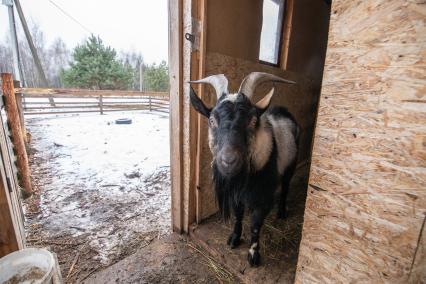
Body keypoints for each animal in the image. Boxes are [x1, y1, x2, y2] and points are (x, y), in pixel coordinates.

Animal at [190, 71, 300, 266]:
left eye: (253, 119)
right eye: (211, 120)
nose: (229, 160)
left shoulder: (264, 197)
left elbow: (255, 225)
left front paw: (253, 255)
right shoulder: (237, 195)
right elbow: (238, 215)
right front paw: (234, 238)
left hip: (291, 164)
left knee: (286, 187)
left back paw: (281, 212)